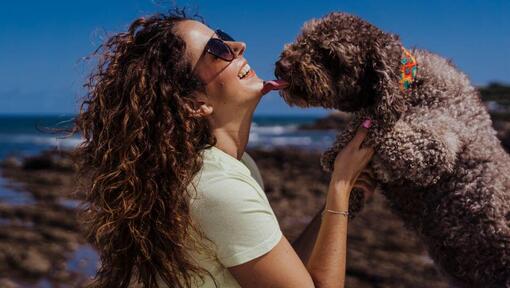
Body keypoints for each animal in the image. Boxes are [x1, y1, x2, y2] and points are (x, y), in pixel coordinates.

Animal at [274, 11, 510, 288]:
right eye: (305, 37)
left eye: (329, 54)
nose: (282, 64)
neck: (410, 83)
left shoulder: (435, 147)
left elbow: (382, 128)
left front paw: (343, 145)